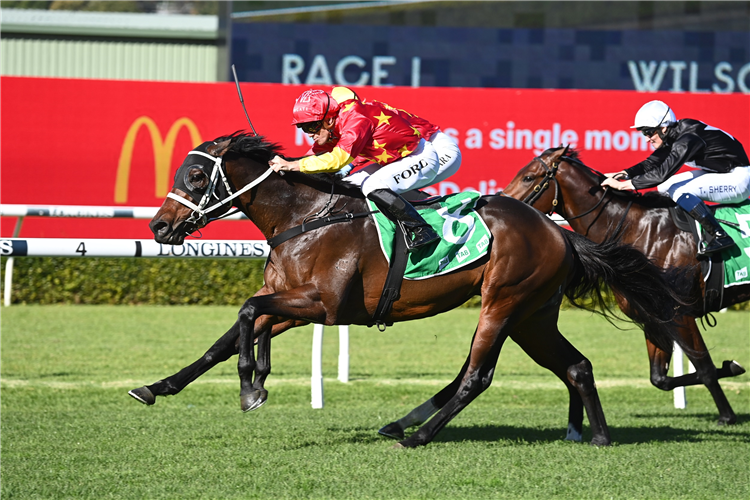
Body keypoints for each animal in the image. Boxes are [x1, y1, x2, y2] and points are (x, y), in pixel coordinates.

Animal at [131, 134, 688, 450]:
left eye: (195, 174)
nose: (159, 227)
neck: (304, 219)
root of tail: (559, 232)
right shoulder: (294, 302)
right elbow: (228, 337)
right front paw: (158, 386)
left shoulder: (323, 305)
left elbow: (248, 312)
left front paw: (253, 384)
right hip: (532, 317)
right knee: (576, 366)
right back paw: (598, 437)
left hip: (503, 302)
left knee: (477, 376)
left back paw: (417, 435)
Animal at [502, 146, 748, 428]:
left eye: (529, 177)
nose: (503, 204)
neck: (639, 229)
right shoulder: (653, 317)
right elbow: (659, 379)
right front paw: (731, 367)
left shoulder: (680, 314)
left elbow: (705, 368)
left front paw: (727, 416)